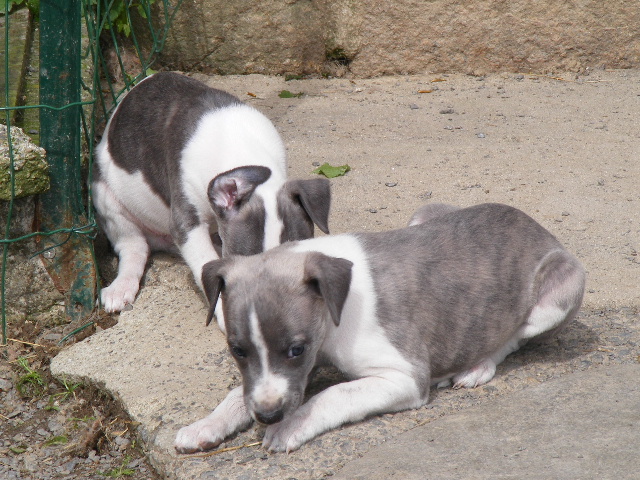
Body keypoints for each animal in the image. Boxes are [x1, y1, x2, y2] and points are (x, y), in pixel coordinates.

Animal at [174, 202, 584, 454]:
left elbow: (335, 394)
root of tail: (537, 226)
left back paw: (477, 367)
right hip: (423, 213)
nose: (268, 416)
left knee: (514, 336)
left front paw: (290, 427)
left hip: (560, 292)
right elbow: (237, 393)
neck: (335, 310)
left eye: (296, 349)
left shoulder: (404, 376)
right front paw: (205, 425)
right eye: (237, 350)